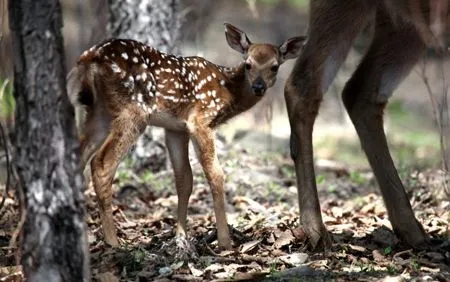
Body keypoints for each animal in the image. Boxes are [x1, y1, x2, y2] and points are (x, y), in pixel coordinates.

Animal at [67, 23, 306, 249]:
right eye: (248, 64)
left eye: (274, 66)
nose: (258, 87)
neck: (227, 90)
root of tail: (89, 57)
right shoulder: (200, 120)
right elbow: (216, 175)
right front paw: (225, 242)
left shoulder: (176, 128)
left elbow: (185, 179)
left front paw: (181, 237)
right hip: (134, 109)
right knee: (101, 163)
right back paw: (112, 242)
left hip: (99, 111)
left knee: (78, 157)